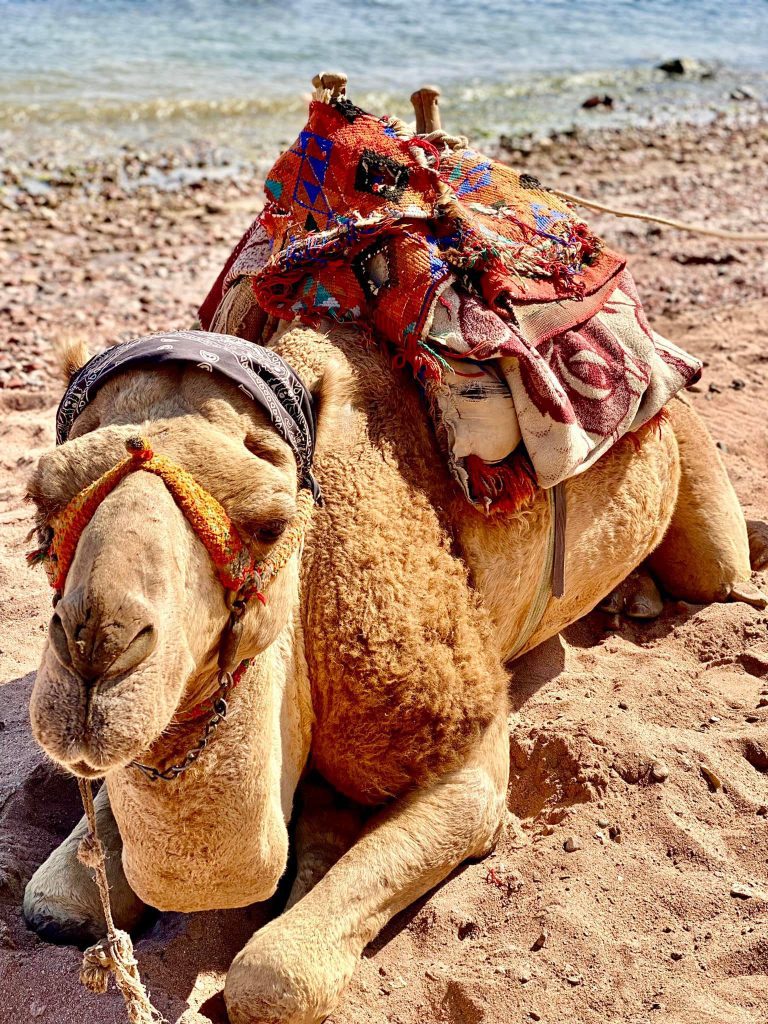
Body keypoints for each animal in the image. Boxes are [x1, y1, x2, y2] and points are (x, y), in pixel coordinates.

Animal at [19, 315, 768, 1019]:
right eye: (40, 506)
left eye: (269, 524)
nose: (96, 649)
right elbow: (49, 899)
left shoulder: (462, 751)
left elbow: (273, 977)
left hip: (697, 485)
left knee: (721, 568)